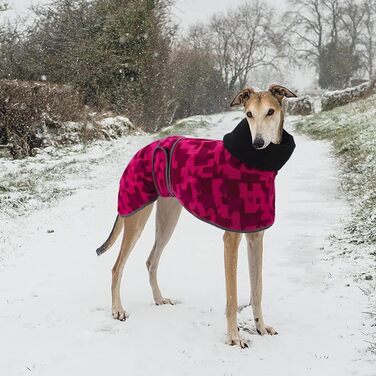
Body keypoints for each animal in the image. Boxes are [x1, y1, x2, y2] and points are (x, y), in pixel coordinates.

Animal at [96, 83, 296, 348]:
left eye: (270, 112)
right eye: (249, 114)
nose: (258, 143)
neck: (254, 163)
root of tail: (139, 152)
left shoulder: (256, 236)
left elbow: (258, 289)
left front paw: (261, 327)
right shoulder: (231, 239)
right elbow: (232, 296)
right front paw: (234, 338)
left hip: (168, 218)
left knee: (151, 260)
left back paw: (159, 299)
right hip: (136, 215)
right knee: (116, 267)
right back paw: (117, 310)